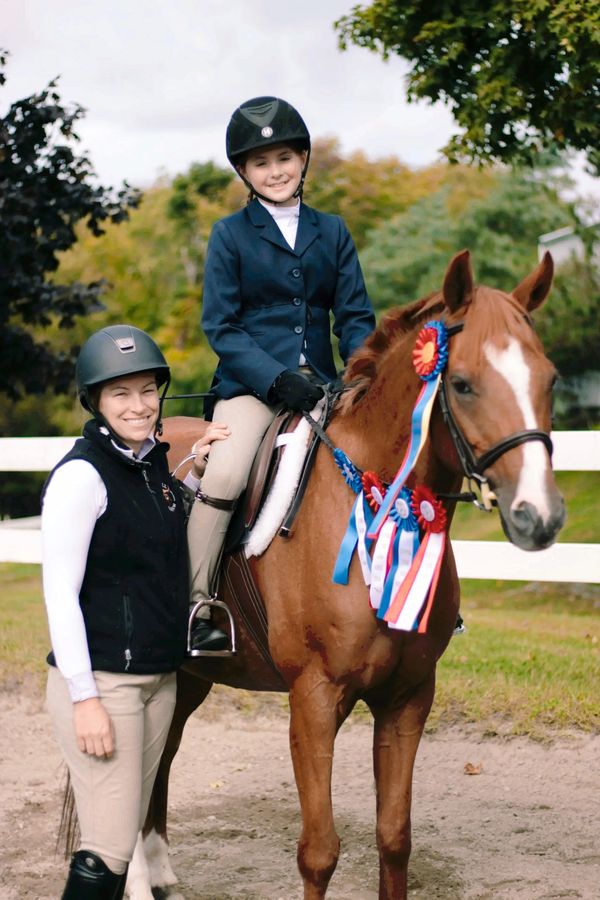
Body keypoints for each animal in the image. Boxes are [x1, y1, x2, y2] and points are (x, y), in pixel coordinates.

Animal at [129, 248, 564, 900]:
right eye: (461, 384)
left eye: (550, 379)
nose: (539, 515)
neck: (377, 502)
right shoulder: (313, 698)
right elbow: (319, 852)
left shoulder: (408, 698)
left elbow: (394, 839)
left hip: (191, 675)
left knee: (162, 753)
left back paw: (159, 872)